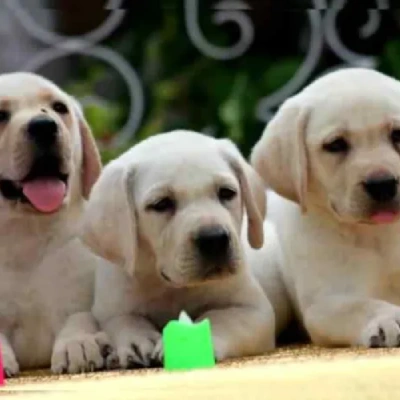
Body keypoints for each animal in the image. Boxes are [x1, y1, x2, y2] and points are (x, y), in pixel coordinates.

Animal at [81, 130, 276, 368]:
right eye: (161, 204)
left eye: (227, 193)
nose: (214, 239)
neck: (172, 286)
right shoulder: (110, 309)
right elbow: (124, 320)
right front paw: (136, 341)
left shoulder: (254, 310)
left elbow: (220, 318)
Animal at [252, 68, 400, 346]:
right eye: (336, 145)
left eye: (397, 134)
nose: (383, 184)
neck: (377, 236)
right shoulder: (324, 304)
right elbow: (359, 305)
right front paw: (386, 318)